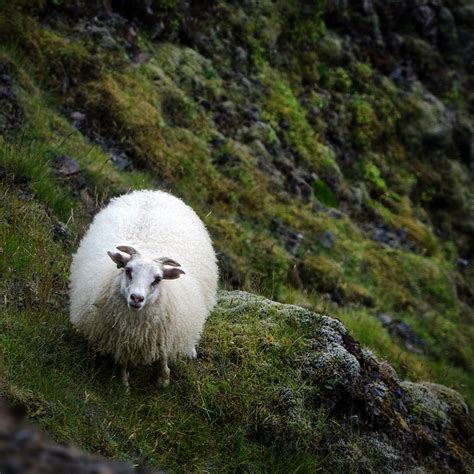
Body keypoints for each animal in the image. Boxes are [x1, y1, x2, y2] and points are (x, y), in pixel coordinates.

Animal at [69, 191, 218, 390]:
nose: (137, 298)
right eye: (128, 270)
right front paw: (124, 384)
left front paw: (163, 379)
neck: (136, 326)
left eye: (157, 280)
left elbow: (163, 355)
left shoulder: (165, 329)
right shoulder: (121, 338)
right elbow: (123, 359)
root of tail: (153, 192)